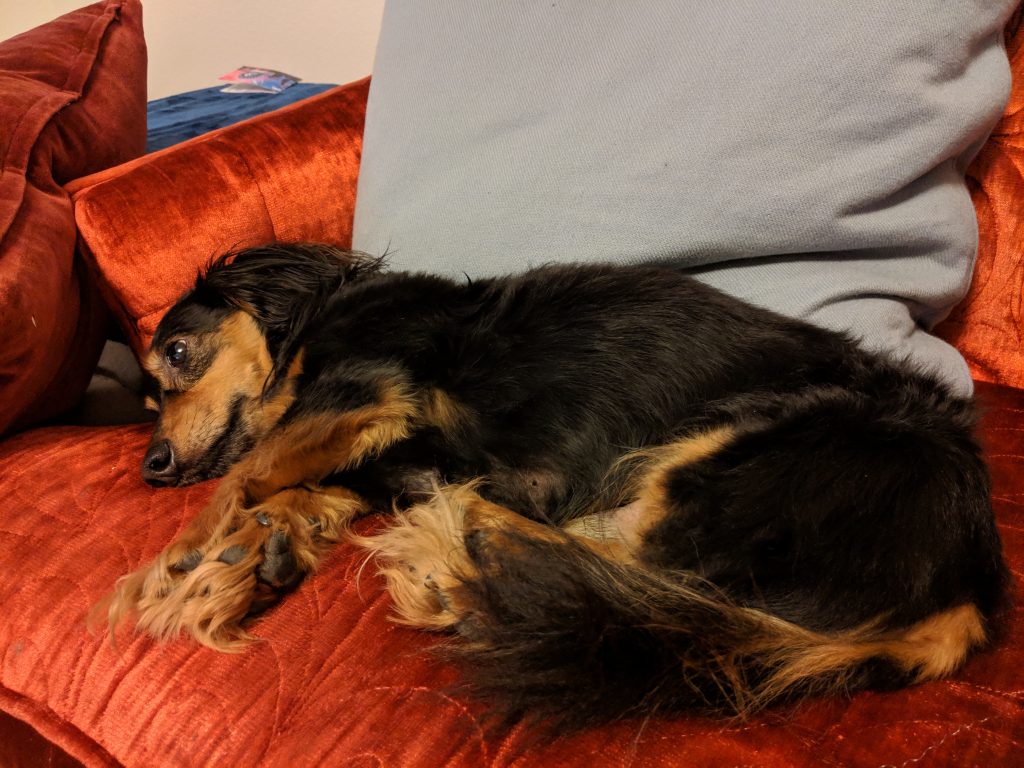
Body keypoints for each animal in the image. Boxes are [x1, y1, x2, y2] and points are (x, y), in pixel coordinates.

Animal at [105, 243, 1007, 729]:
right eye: (144, 401)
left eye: (178, 353)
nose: (152, 465)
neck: (320, 315)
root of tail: (967, 591)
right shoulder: (372, 443)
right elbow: (288, 486)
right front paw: (248, 560)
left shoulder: (370, 386)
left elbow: (248, 469)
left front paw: (173, 569)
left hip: (733, 449)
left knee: (643, 586)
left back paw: (457, 541)